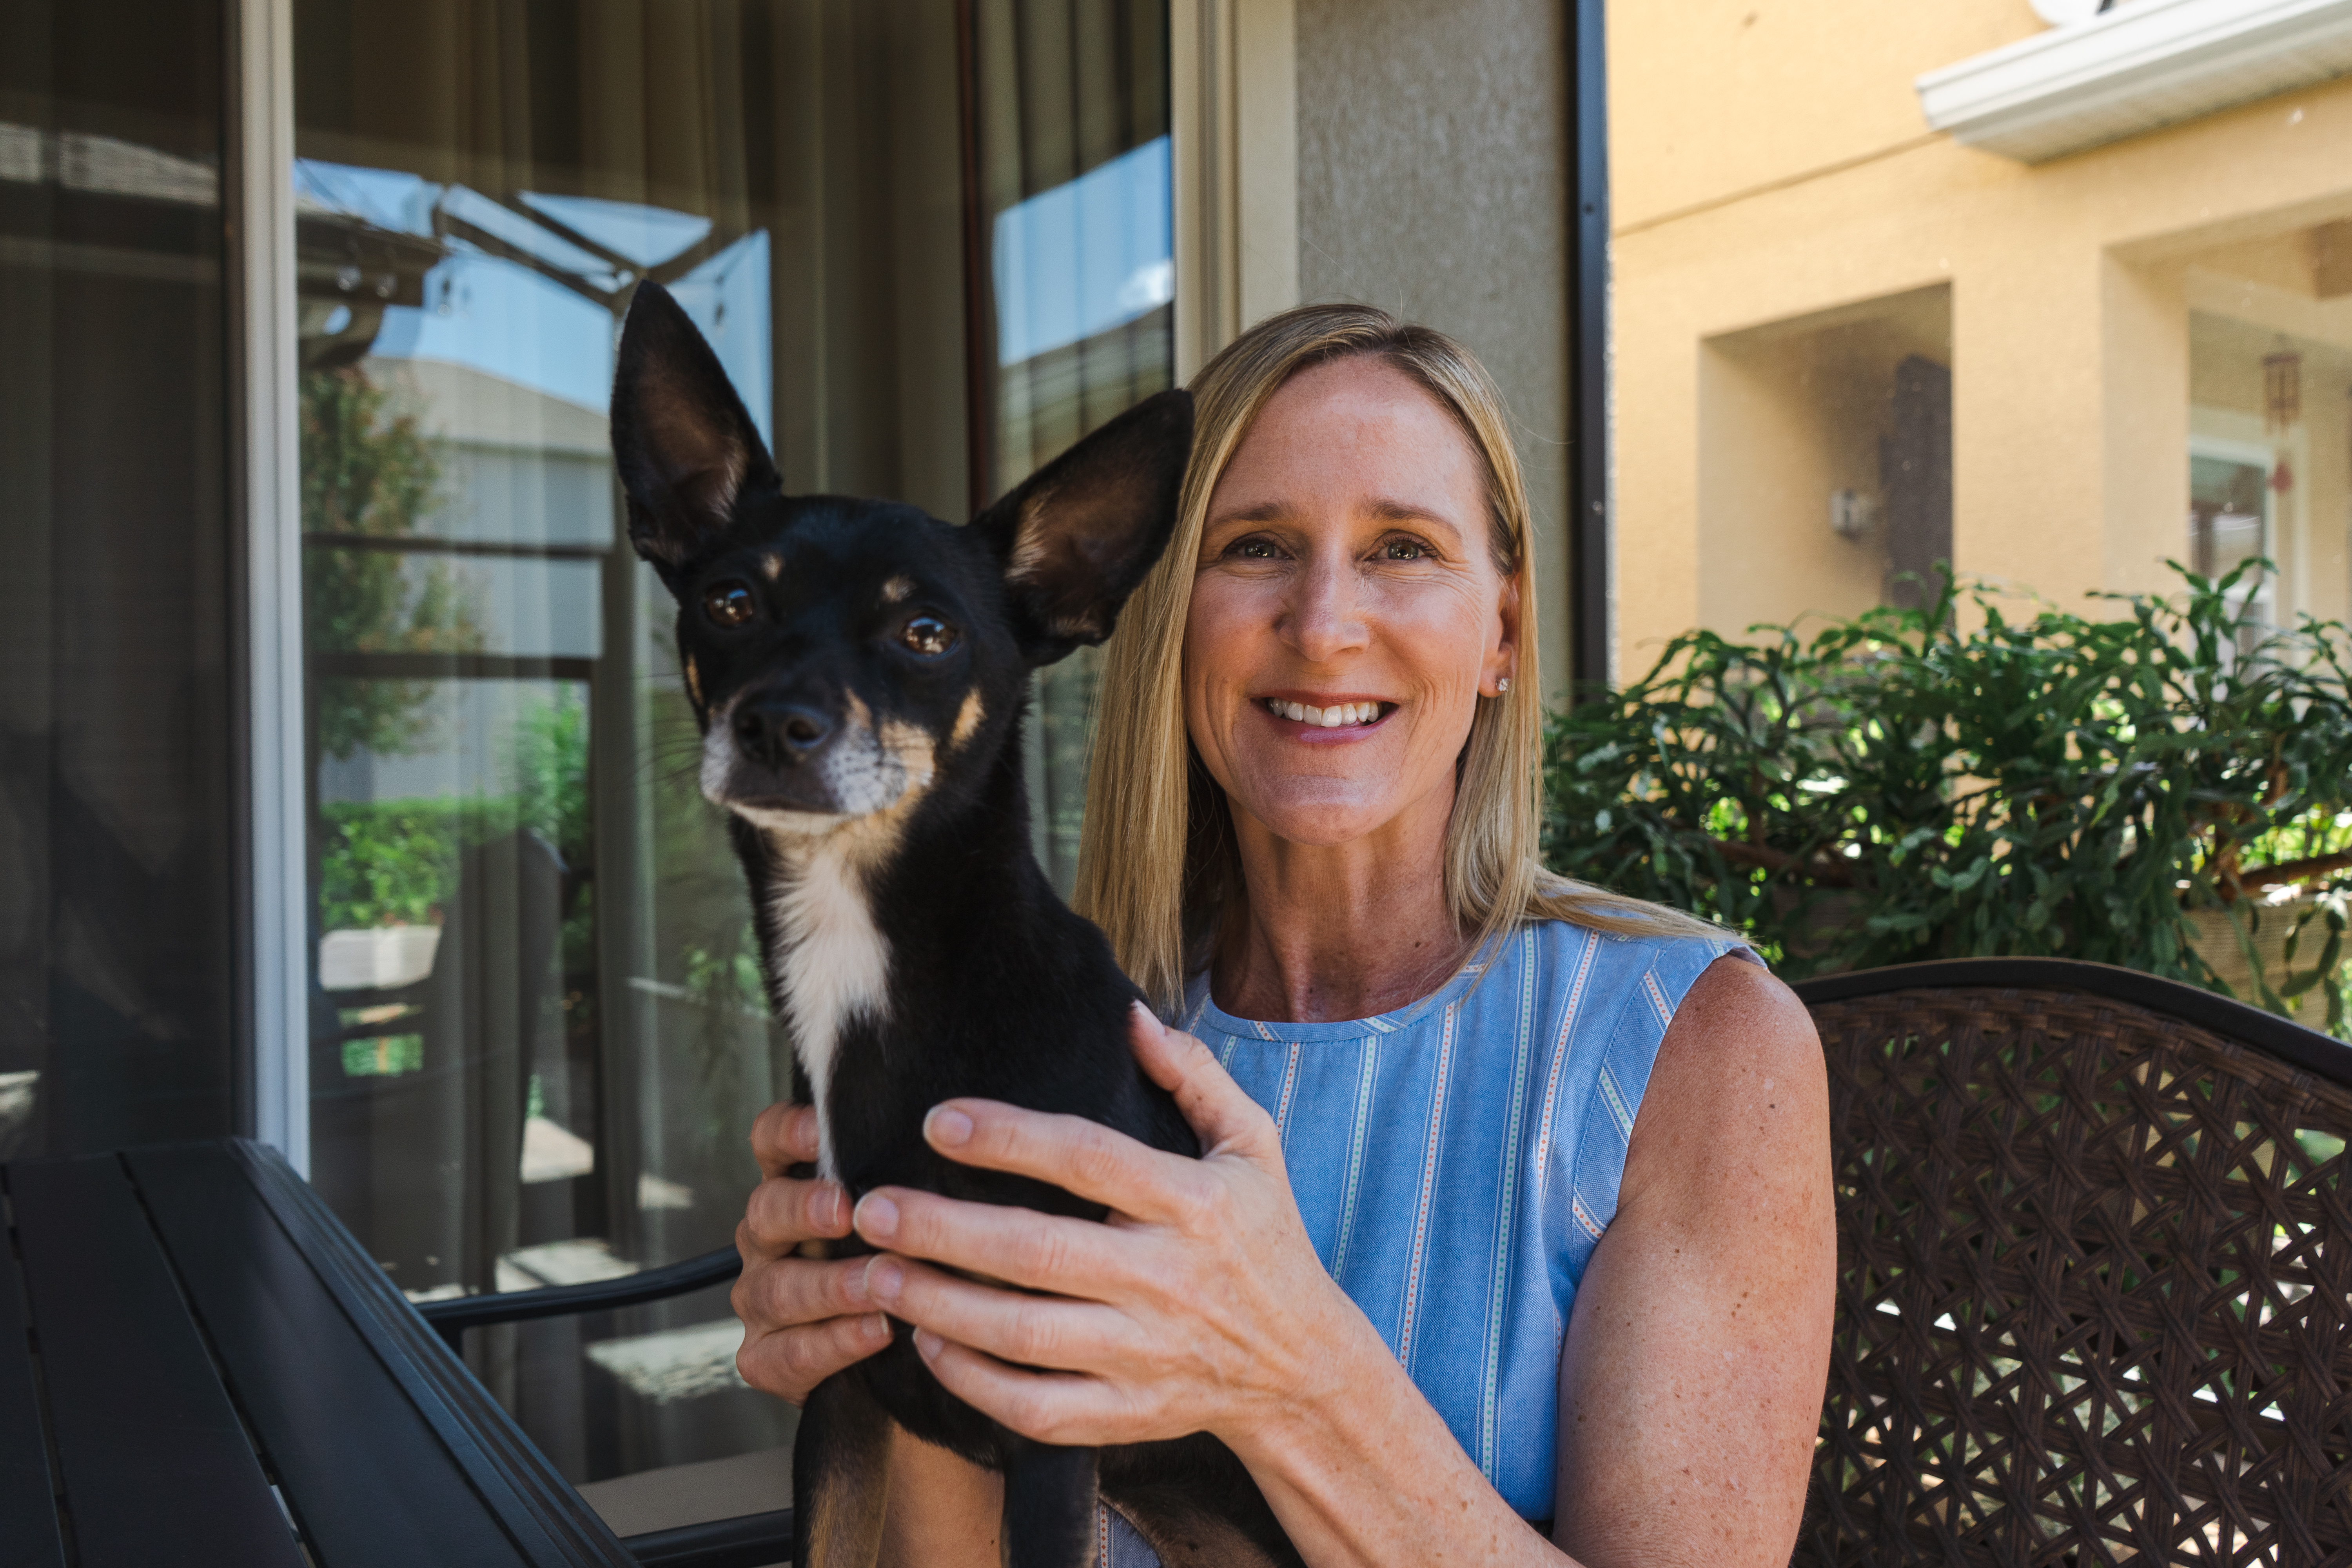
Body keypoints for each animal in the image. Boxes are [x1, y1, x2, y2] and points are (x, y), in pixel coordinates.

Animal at [616, 282, 1298, 1568]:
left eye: (925, 633)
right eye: (731, 601)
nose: (773, 722)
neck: (872, 951)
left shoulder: (1051, 1417)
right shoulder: (842, 1387)